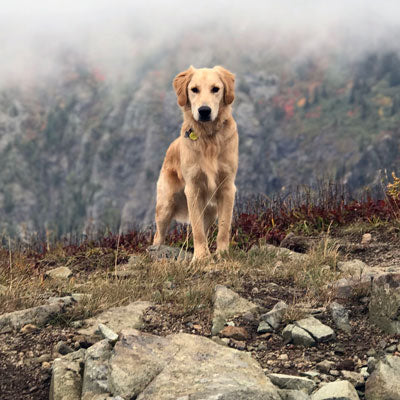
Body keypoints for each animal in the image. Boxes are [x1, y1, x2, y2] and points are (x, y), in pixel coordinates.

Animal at [153, 66, 238, 260]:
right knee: (158, 235)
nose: (204, 110)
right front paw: (200, 258)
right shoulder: (193, 189)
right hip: (165, 205)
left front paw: (222, 254)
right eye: (194, 89)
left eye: (215, 89)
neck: (209, 138)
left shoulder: (227, 187)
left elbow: (224, 228)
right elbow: (197, 230)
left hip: (211, 210)